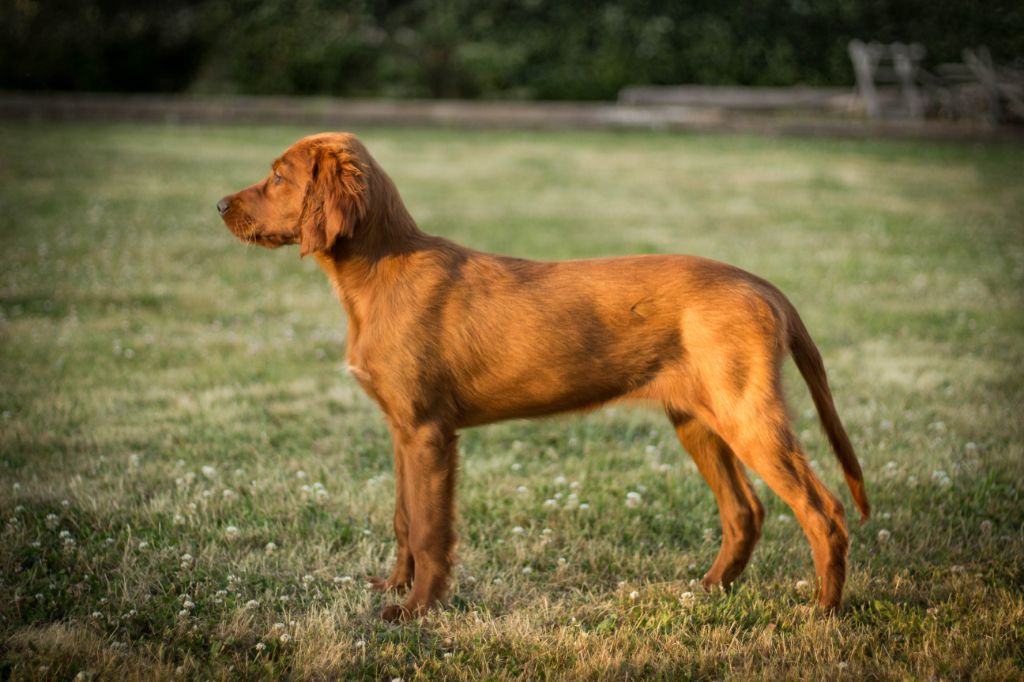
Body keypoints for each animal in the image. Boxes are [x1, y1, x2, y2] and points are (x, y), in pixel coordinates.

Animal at [218, 130, 872, 618]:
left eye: (278, 177)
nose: (219, 206)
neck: (382, 271)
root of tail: (763, 285)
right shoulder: (402, 428)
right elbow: (403, 518)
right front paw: (394, 588)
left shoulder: (429, 432)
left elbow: (429, 529)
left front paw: (417, 611)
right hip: (698, 418)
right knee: (744, 512)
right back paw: (709, 591)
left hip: (748, 415)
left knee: (824, 512)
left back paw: (823, 611)